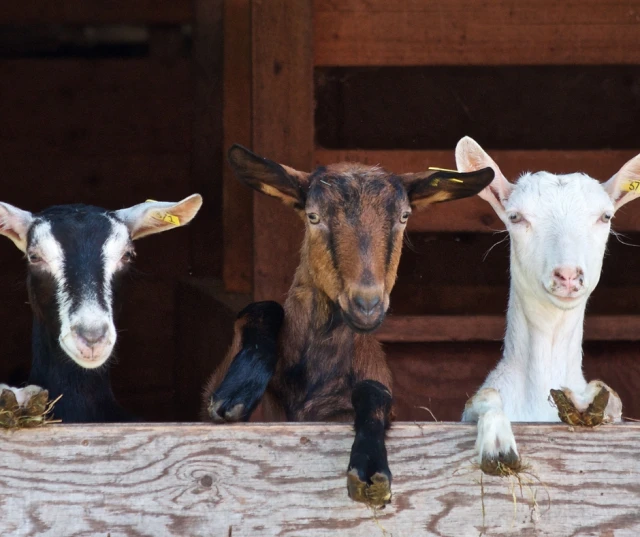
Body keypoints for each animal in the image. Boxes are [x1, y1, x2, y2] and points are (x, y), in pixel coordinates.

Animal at [205, 144, 496, 504]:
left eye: (404, 216)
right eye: (313, 216)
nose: (367, 304)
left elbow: (374, 392)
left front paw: (370, 468)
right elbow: (262, 308)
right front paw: (237, 391)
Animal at [458, 137, 636, 468]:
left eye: (605, 216)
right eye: (515, 217)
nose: (567, 275)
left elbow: (612, 398)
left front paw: (586, 400)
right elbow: (484, 396)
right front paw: (498, 445)